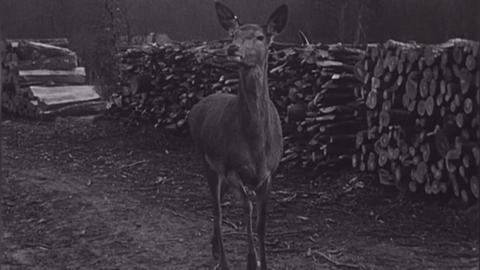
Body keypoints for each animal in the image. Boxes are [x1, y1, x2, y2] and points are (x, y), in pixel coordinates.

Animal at [187, 2, 284, 270]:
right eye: (233, 35)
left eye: (260, 37)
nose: (232, 48)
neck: (256, 145)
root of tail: (194, 109)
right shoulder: (231, 168)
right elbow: (247, 210)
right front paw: (252, 261)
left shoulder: (269, 173)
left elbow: (261, 223)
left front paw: (265, 263)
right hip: (206, 160)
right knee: (217, 209)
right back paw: (223, 260)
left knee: (219, 203)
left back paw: (214, 247)